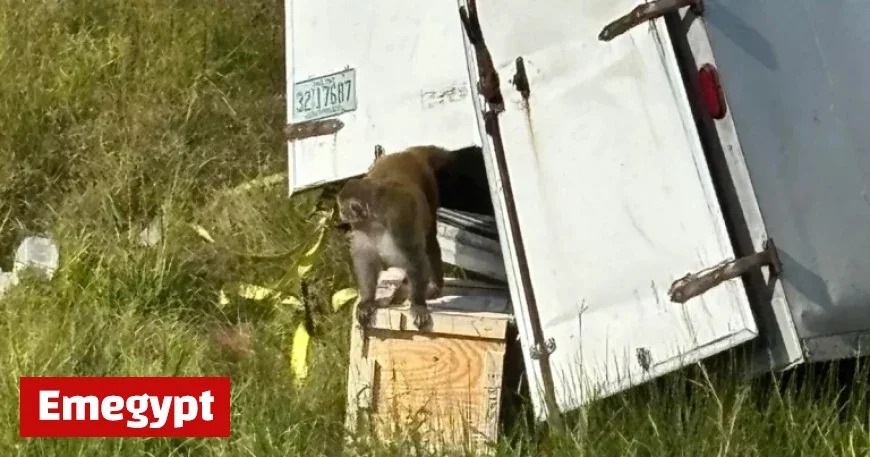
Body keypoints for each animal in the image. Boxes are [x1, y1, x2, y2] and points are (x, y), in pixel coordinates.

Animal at [336, 145, 457, 330]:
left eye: (343, 209)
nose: (340, 214)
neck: (376, 221)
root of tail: (407, 154)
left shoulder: (399, 222)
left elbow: (415, 260)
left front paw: (418, 304)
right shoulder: (363, 230)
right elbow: (366, 261)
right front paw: (367, 301)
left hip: (429, 187)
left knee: (430, 241)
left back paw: (435, 285)